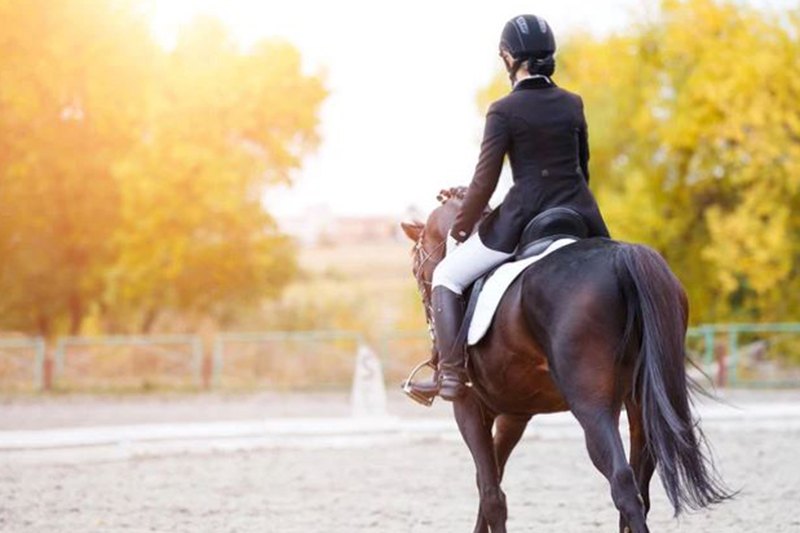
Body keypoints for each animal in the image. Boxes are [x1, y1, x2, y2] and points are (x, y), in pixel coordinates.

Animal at [400, 187, 732, 532]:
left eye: (415, 267)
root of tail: (622, 258)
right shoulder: (514, 415)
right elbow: (490, 483)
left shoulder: (468, 408)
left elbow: (490, 492)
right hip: (641, 406)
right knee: (641, 488)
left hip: (591, 408)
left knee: (623, 484)